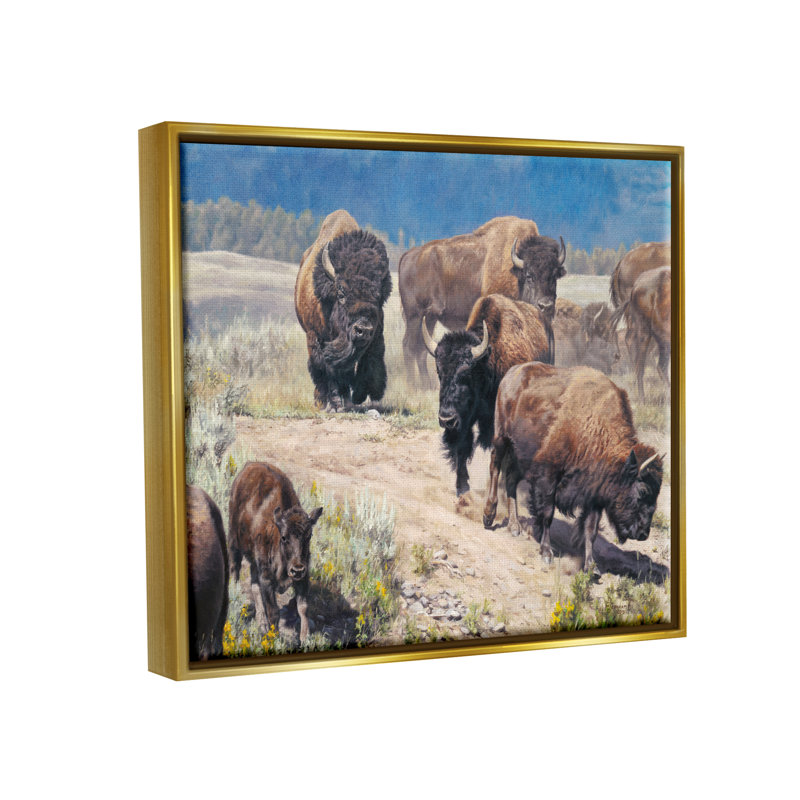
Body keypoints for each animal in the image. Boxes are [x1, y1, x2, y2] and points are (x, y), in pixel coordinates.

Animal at [228, 462, 323, 641]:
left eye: (309, 536)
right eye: (284, 537)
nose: (297, 569)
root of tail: (248, 465)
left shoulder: (303, 578)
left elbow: (303, 608)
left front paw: (305, 638)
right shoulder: (267, 579)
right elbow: (274, 611)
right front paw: (274, 638)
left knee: (254, 585)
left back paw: (262, 623)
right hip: (234, 541)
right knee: (235, 568)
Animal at [295, 210, 392, 410]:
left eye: (379, 297)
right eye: (341, 293)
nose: (363, 329)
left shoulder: (375, 336)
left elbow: (369, 360)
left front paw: (356, 397)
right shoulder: (316, 336)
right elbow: (325, 367)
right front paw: (332, 403)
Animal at [399, 216, 565, 386]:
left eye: (554, 276)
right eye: (529, 275)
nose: (546, 306)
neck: (514, 270)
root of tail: (408, 255)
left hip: (430, 317)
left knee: (420, 349)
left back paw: (427, 384)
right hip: (415, 315)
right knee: (409, 346)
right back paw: (413, 384)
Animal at [423, 293, 553, 496]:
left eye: (466, 373)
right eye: (439, 371)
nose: (446, 419)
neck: (487, 365)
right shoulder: (466, 419)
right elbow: (463, 447)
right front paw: (462, 489)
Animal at [483, 363, 663, 574]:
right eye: (643, 491)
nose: (643, 533)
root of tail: (512, 372)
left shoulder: (594, 495)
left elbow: (591, 530)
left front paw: (591, 566)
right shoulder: (548, 477)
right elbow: (547, 515)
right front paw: (547, 553)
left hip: (520, 455)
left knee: (510, 480)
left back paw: (514, 526)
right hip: (501, 437)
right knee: (495, 468)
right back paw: (488, 515)